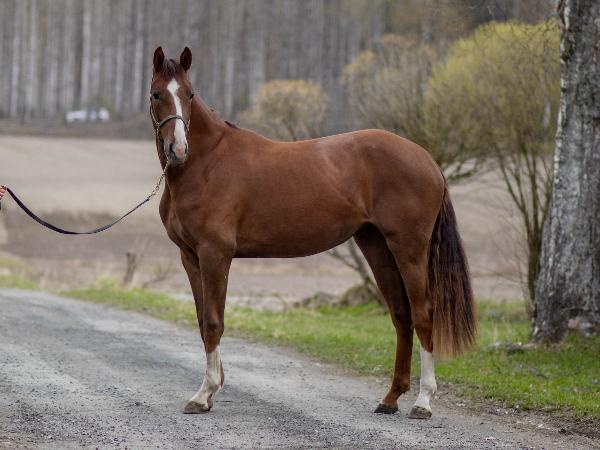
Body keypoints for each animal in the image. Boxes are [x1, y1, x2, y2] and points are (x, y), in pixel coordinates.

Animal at [150, 46, 476, 419]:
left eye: (190, 95)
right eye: (157, 94)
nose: (178, 150)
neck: (206, 163)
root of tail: (428, 160)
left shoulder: (215, 254)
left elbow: (214, 322)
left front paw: (204, 393)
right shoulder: (190, 256)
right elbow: (203, 320)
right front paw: (209, 392)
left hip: (409, 249)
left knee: (423, 315)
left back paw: (423, 402)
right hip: (377, 247)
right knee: (401, 316)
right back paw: (390, 398)